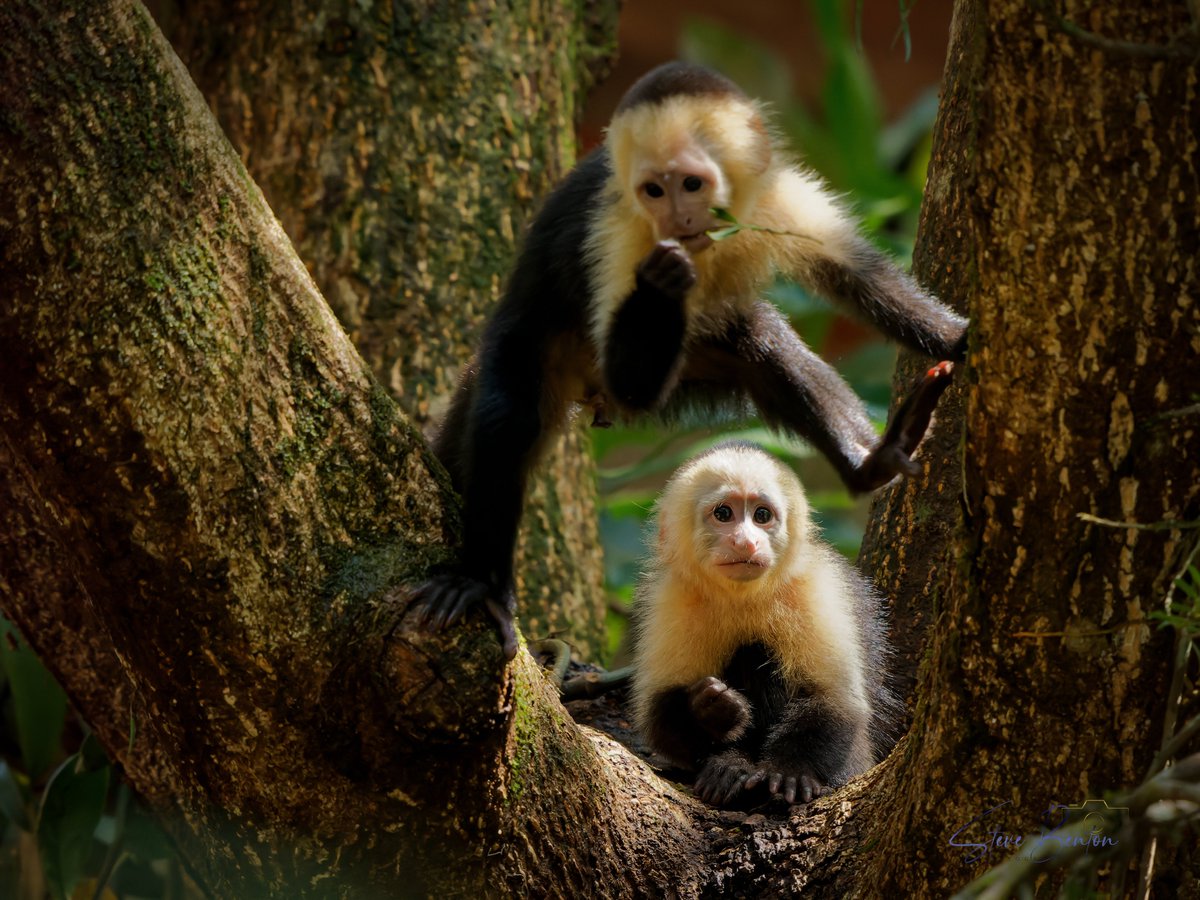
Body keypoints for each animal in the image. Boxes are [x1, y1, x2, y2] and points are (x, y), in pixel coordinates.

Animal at [412, 62, 967, 659]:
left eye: (692, 184)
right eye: (654, 190)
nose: (677, 219)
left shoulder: (777, 195)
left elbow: (859, 279)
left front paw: (957, 338)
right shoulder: (617, 232)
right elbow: (628, 381)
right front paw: (664, 279)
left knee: (761, 342)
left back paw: (872, 464)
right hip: (532, 345)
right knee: (510, 413)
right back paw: (481, 580)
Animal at [630, 441, 901, 807]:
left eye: (761, 516)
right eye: (723, 514)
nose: (746, 542)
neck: (744, 596)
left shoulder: (815, 586)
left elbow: (834, 700)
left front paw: (789, 770)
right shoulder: (673, 598)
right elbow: (661, 719)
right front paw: (712, 710)